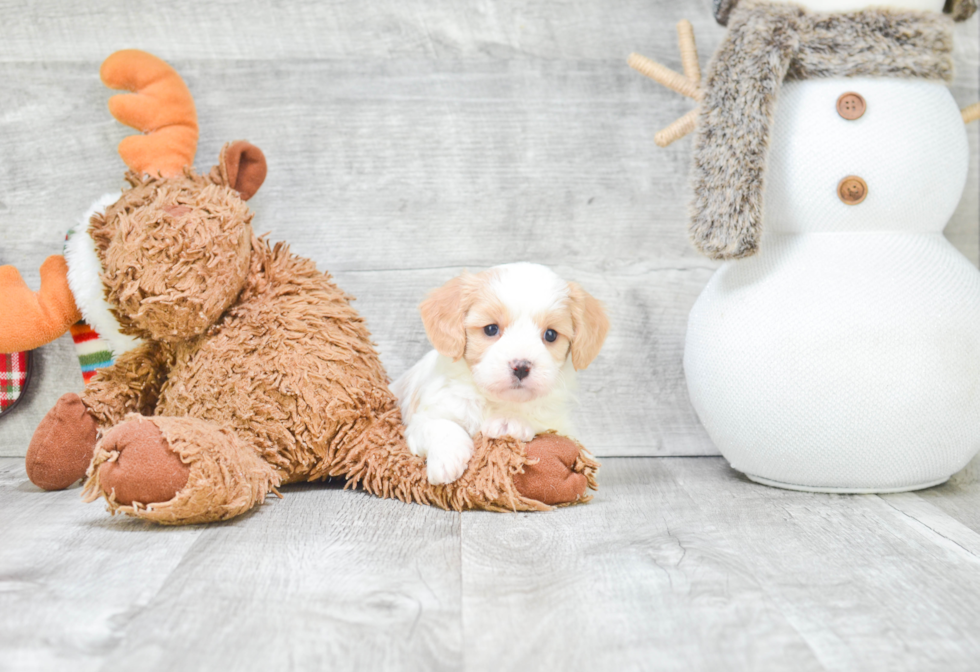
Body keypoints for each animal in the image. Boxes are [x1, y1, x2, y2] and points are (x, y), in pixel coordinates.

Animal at [388, 262, 604, 484]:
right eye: (491, 329)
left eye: (550, 334)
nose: (521, 367)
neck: (495, 400)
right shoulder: (422, 419)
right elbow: (440, 425)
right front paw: (447, 459)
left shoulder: (562, 425)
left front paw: (510, 421)